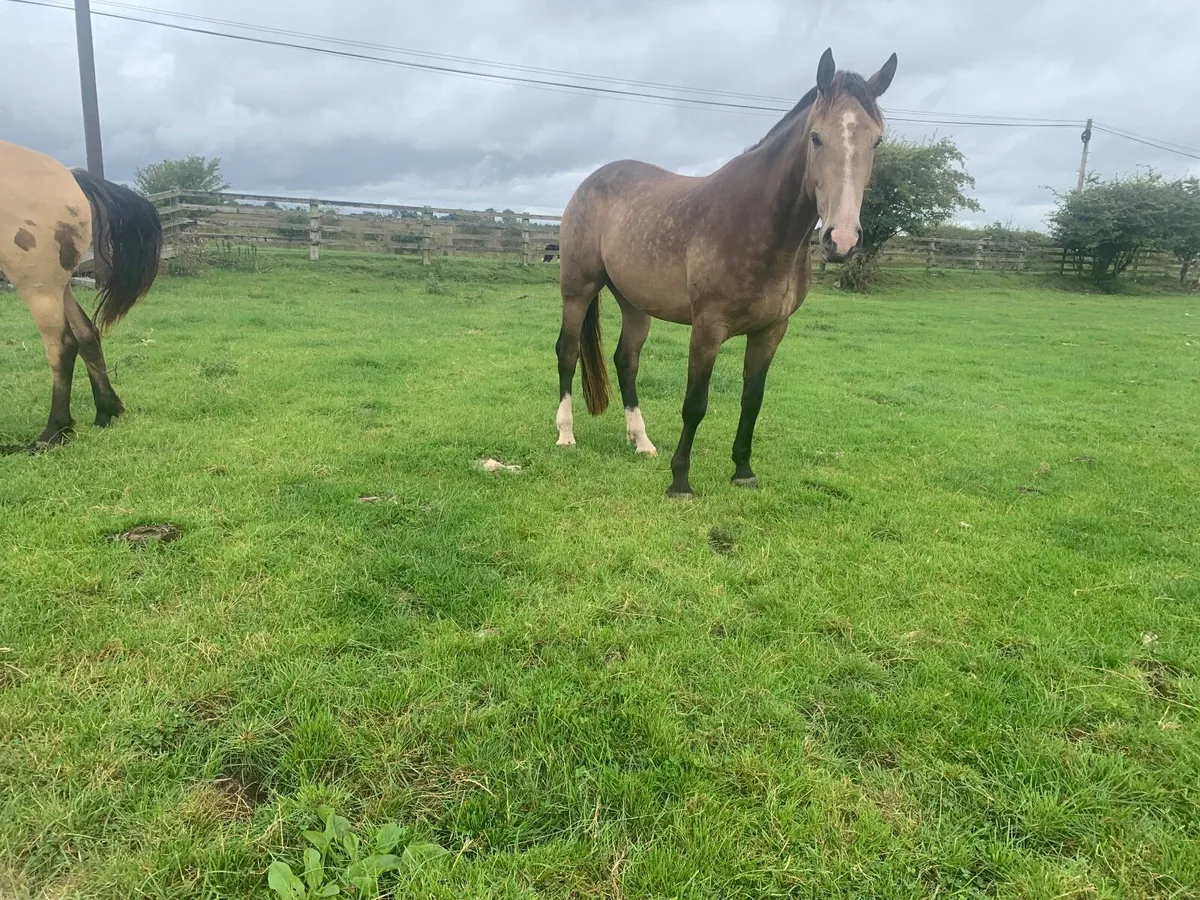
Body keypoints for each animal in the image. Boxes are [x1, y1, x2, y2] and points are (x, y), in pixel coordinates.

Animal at [0, 139, 162, 451]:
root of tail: (71, 175)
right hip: (60, 285)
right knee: (87, 333)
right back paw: (106, 411)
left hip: (39, 286)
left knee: (63, 344)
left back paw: (53, 433)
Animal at [552, 48, 897, 497]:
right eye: (816, 137)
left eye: (876, 140)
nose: (841, 240)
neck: (755, 222)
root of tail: (591, 181)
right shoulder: (707, 329)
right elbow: (695, 404)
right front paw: (680, 482)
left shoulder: (771, 331)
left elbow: (752, 400)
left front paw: (743, 471)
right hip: (577, 291)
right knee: (567, 353)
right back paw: (565, 435)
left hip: (635, 304)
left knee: (626, 361)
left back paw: (641, 442)